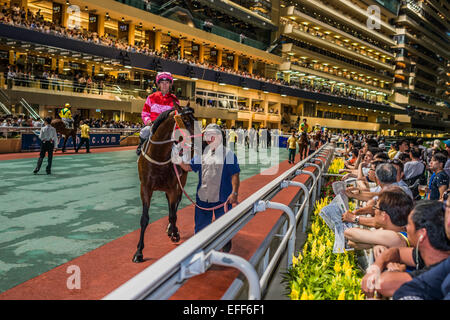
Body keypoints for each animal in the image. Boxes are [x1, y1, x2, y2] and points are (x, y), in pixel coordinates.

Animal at [133, 102, 198, 262]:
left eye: (195, 119)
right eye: (185, 120)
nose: (203, 139)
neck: (159, 156)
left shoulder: (173, 186)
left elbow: (173, 214)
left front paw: (174, 233)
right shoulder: (145, 188)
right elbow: (144, 219)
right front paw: (139, 251)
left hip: (182, 179)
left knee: (175, 204)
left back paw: (171, 229)